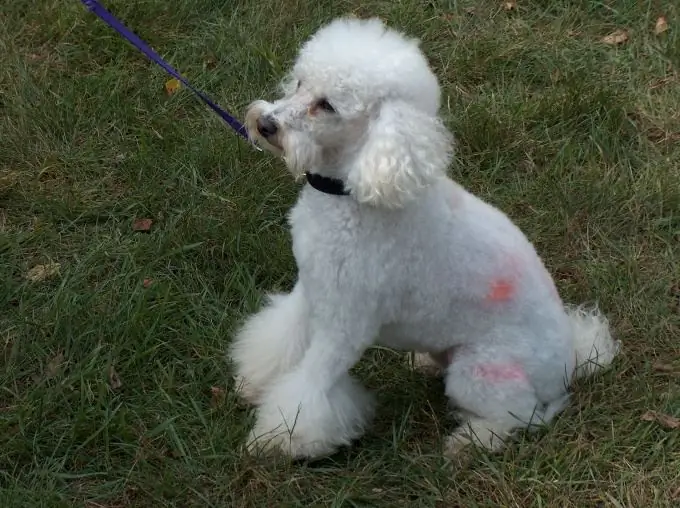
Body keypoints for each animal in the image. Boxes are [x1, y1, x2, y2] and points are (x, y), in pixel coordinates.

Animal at [227, 17, 616, 458]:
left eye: (327, 106)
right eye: (299, 83)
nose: (264, 124)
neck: (353, 192)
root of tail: (572, 361)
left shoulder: (347, 325)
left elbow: (312, 385)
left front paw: (279, 440)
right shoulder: (311, 286)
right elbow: (281, 338)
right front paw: (254, 383)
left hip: (481, 370)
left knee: (523, 415)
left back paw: (472, 440)